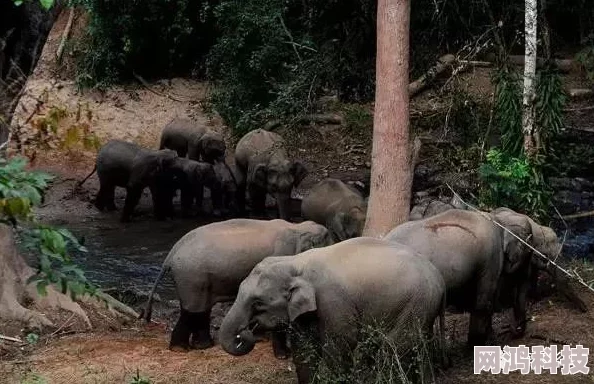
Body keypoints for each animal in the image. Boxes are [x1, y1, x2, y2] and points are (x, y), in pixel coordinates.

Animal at [140, 219, 332, 356]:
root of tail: (170, 255)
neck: (298, 227)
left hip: (196, 280)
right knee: (192, 310)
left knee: (201, 309)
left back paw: (202, 346)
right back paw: (181, 349)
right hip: (192, 277)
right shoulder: (283, 252)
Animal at [217, 237, 444, 384]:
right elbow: (303, 348)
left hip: (415, 302)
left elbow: (341, 343)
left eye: (257, 303)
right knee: (418, 345)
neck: (295, 262)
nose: (245, 332)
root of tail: (439, 277)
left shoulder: (332, 300)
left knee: (398, 345)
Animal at [384, 208, 556, 346]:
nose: (512, 331)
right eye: (529, 251)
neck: (498, 219)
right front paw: (476, 345)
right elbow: (483, 302)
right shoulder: (491, 257)